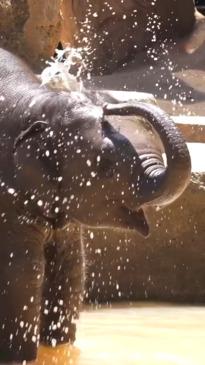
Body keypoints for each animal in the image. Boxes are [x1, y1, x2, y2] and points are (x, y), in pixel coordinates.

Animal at [0, 48, 191, 364]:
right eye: (105, 164)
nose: (109, 107)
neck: (39, 102)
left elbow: (69, 269)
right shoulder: (8, 196)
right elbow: (23, 273)